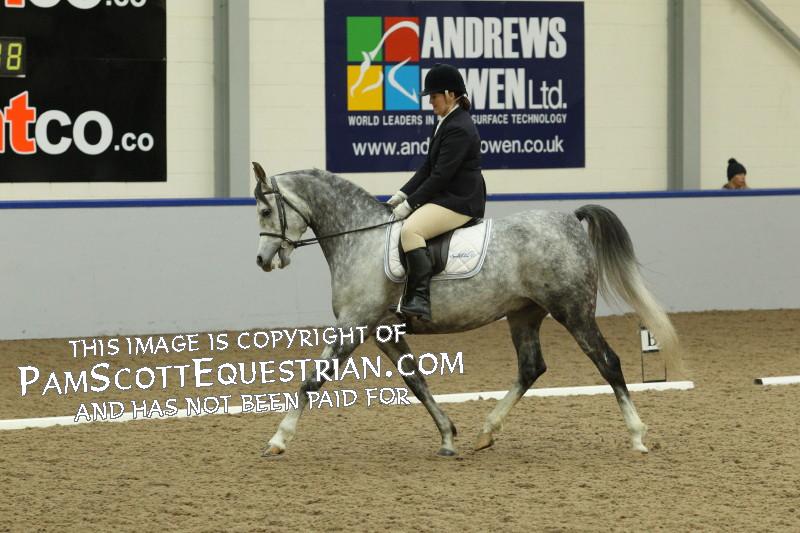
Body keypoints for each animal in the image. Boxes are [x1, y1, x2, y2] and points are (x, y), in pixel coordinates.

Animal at [251, 162, 680, 457]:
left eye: (265, 211)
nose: (262, 260)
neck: (361, 240)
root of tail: (569, 220)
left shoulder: (355, 324)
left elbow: (312, 379)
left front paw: (278, 439)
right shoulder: (383, 330)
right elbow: (416, 382)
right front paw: (447, 436)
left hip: (573, 311)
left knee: (607, 361)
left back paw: (637, 436)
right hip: (524, 314)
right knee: (531, 367)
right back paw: (486, 431)